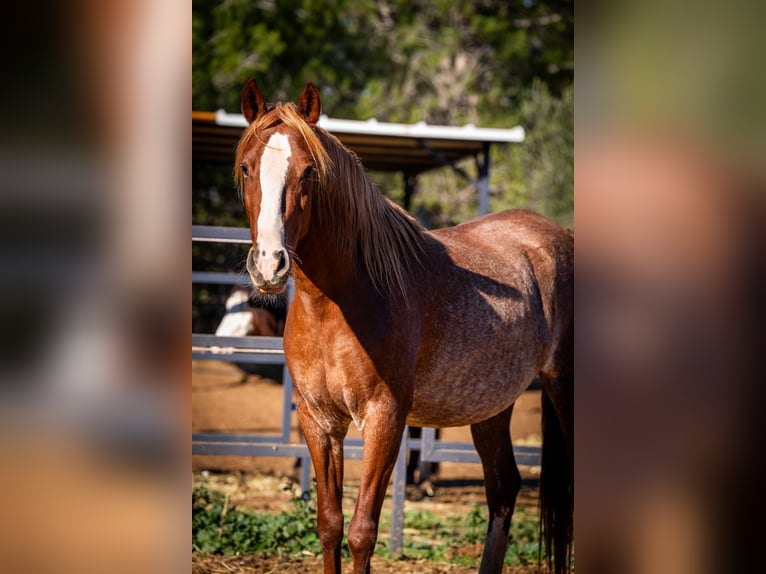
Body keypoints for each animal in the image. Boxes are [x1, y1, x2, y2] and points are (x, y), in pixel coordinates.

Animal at [234, 79, 574, 574]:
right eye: (246, 168)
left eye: (309, 172)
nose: (269, 265)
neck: (338, 304)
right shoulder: (319, 421)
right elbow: (329, 525)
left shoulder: (385, 418)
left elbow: (361, 532)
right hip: (491, 406)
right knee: (503, 488)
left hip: (562, 387)